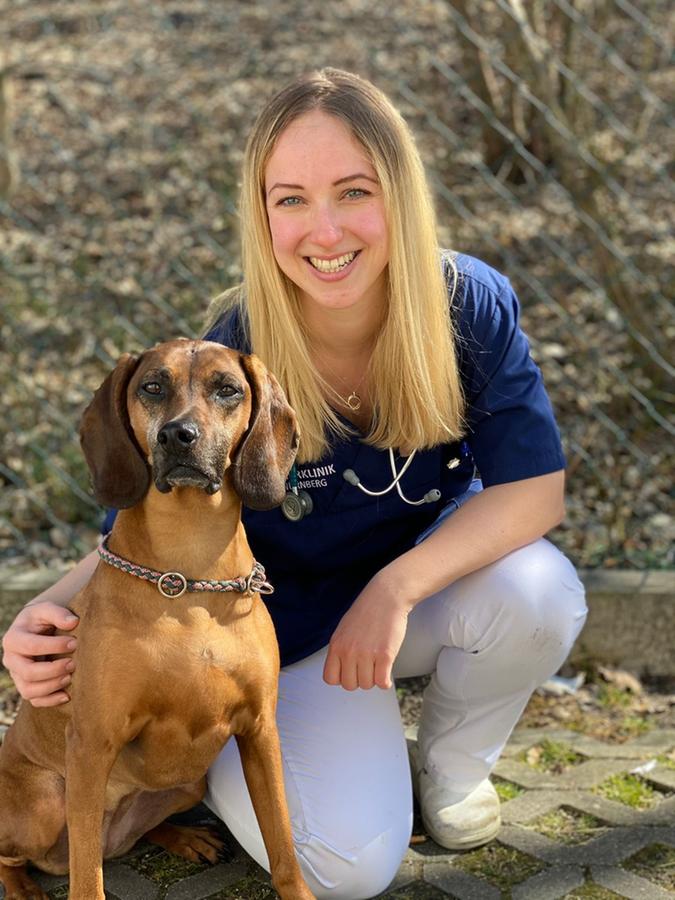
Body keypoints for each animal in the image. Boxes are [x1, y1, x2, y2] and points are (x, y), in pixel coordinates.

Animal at [0, 340, 316, 900]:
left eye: (227, 389)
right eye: (152, 386)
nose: (177, 435)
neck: (188, 579)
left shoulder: (261, 731)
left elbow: (281, 842)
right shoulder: (92, 742)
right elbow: (88, 881)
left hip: (189, 780)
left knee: (126, 838)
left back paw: (186, 837)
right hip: (47, 800)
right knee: (29, 856)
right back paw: (23, 887)